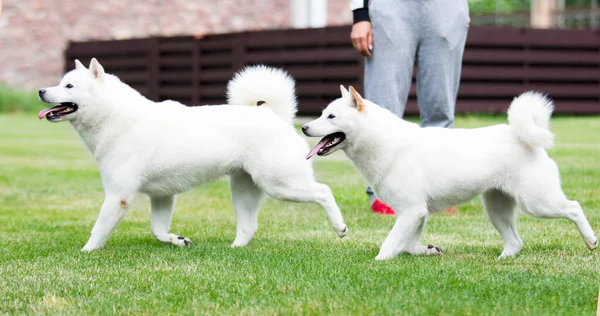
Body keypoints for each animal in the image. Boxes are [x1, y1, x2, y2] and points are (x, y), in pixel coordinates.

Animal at [37, 58, 346, 252]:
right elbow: (158, 230)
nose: (41, 90)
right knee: (248, 227)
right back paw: (233, 250)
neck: (118, 119)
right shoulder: (162, 195)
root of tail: (272, 114)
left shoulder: (118, 196)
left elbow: (99, 229)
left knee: (324, 191)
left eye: (69, 87)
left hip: (281, 184)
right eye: (61, 82)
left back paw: (340, 227)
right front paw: (178, 240)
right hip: (244, 189)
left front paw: (86, 252)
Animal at [302, 84, 596, 260]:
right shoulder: (416, 213)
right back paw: (502, 261)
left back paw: (591, 240)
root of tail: (521, 135)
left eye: (331, 117)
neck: (387, 144)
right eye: (323, 114)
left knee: (573, 207)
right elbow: (407, 244)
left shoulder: (411, 211)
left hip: (537, 203)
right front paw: (428, 250)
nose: (304, 127)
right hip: (497, 209)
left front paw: (378, 261)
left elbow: (390, 243)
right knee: (515, 242)